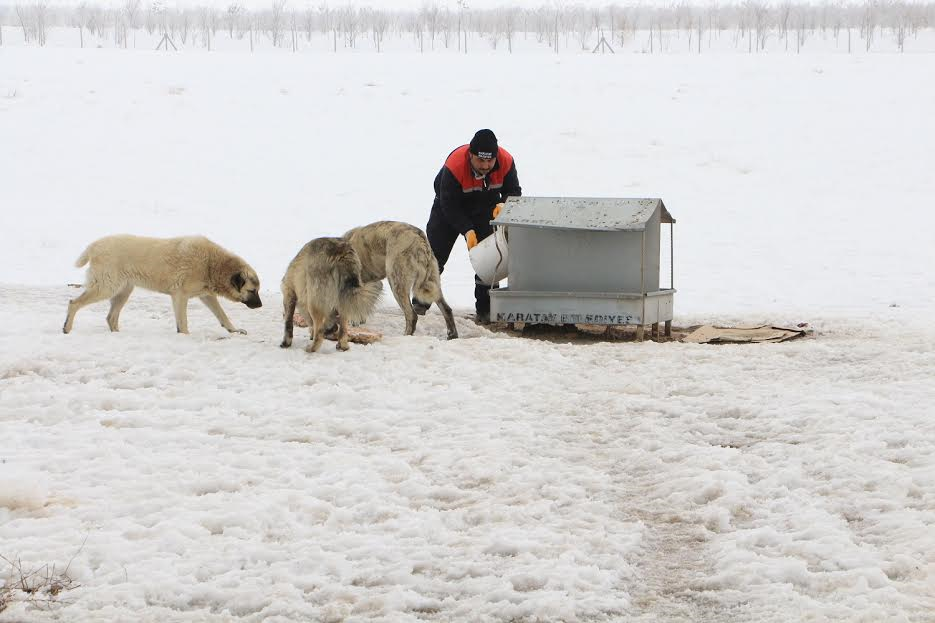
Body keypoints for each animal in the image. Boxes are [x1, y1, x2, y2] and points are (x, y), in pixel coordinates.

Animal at [62, 234, 262, 334]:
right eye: (252, 291)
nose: (260, 306)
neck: (212, 265)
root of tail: (93, 246)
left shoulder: (206, 295)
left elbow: (222, 315)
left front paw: (233, 330)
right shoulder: (180, 296)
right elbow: (183, 323)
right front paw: (185, 337)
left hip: (124, 291)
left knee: (111, 317)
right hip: (106, 287)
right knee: (74, 303)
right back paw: (66, 328)